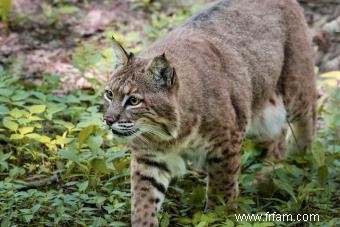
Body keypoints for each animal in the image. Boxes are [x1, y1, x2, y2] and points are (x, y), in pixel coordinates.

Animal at [101, 0, 316, 225]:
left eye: (133, 101)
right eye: (109, 94)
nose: (108, 120)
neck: (170, 134)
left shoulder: (227, 144)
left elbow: (221, 189)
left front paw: (219, 217)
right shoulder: (148, 157)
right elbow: (142, 201)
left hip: (294, 90)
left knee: (308, 114)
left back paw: (300, 157)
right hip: (257, 113)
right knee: (278, 134)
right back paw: (267, 174)